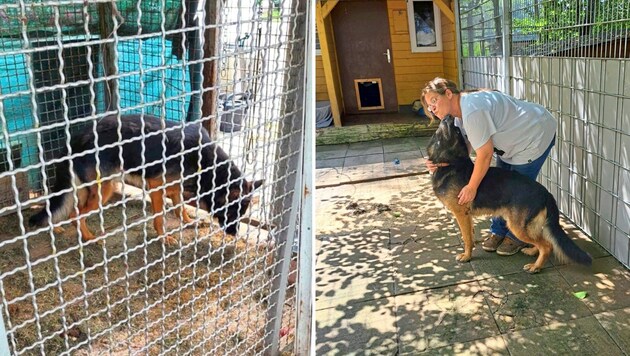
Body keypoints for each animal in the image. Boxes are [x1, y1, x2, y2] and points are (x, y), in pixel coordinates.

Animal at [27, 114, 262, 245]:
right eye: (231, 212)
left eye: (241, 214)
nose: (233, 233)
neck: (203, 159)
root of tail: (78, 136)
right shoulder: (156, 187)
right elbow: (159, 217)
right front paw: (163, 237)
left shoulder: (175, 187)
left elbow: (180, 208)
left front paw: (188, 222)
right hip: (104, 190)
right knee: (76, 214)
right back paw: (89, 238)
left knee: (71, 209)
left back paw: (61, 229)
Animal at [428, 115, 596, 274]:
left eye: (456, 131)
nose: (449, 116)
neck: (452, 163)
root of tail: (546, 192)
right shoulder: (467, 216)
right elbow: (470, 234)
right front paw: (469, 252)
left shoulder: (461, 214)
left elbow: (467, 238)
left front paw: (467, 256)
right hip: (528, 225)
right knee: (540, 241)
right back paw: (532, 252)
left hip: (516, 227)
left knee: (547, 245)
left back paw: (535, 267)